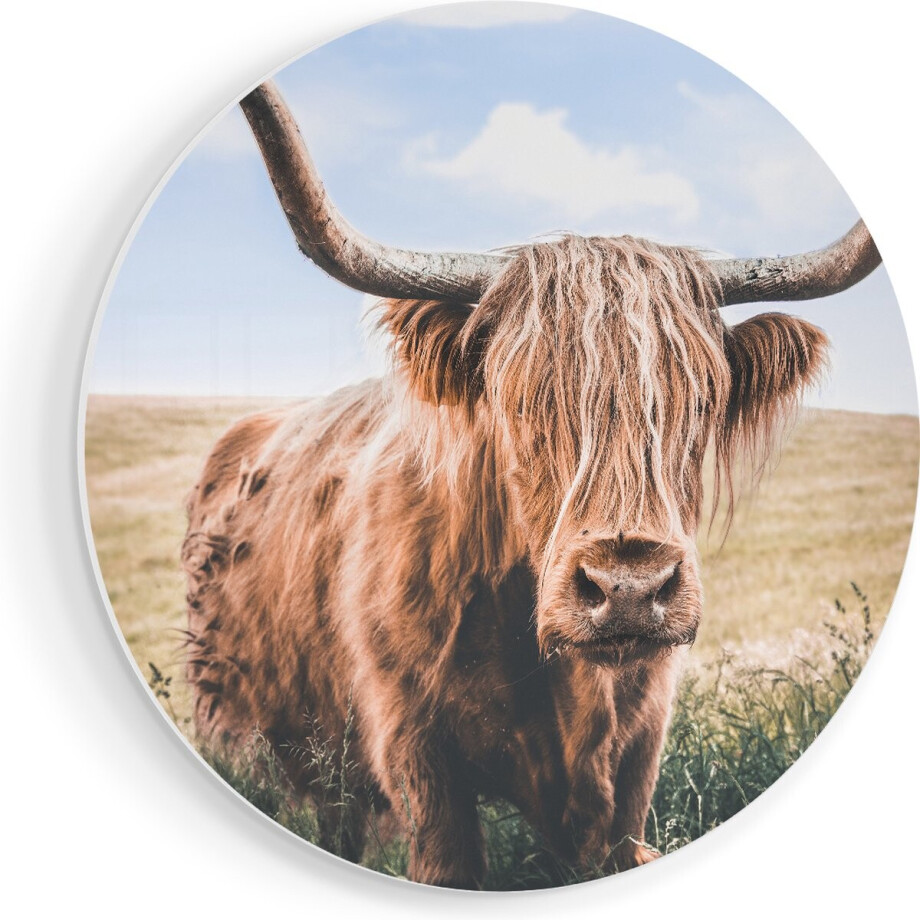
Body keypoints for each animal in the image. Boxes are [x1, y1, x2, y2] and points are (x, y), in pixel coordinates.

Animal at [181, 81, 881, 888]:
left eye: (700, 401)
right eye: (518, 401)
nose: (629, 589)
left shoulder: (636, 761)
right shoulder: (417, 756)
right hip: (240, 730)